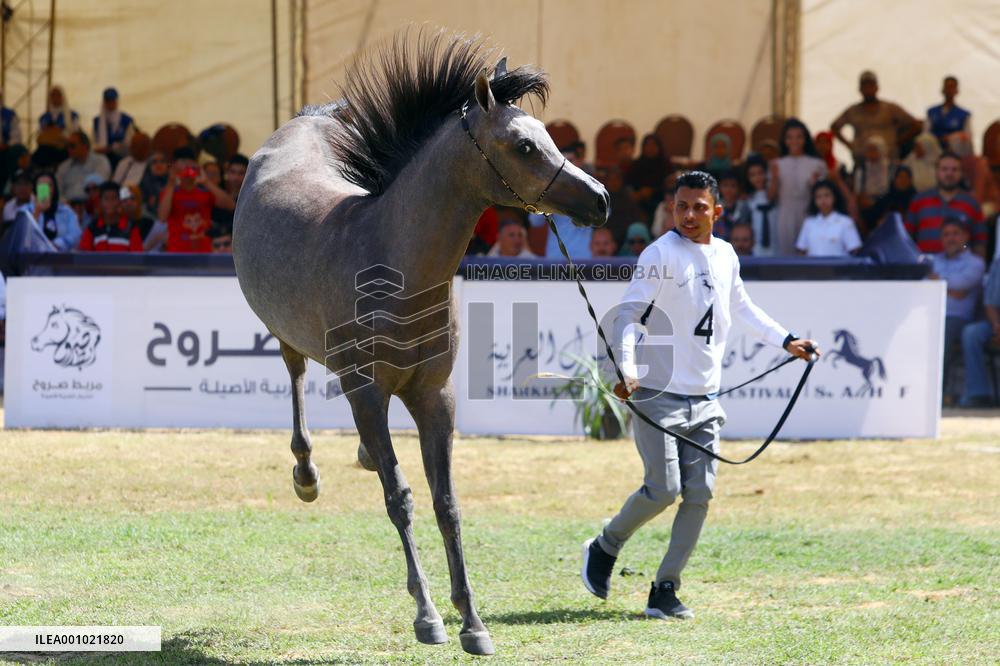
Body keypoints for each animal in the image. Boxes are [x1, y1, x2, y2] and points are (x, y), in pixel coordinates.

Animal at [232, 29, 609, 656]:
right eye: (524, 145)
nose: (600, 198)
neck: (391, 263)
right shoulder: (366, 394)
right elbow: (401, 498)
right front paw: (428, 615)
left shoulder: (435, 397)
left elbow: (446, 503)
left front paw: (473, 622)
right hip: (289, 336)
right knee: (296, 376)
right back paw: (306, 474)